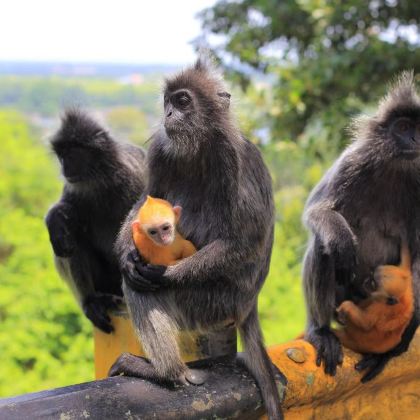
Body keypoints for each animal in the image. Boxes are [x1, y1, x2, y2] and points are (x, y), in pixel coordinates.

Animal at [45, 110, 147, 332]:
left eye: (72, 155)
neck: (100, 181)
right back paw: (91, 301)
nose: (64, 168)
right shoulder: (75, 188)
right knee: (71, 238)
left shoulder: (133, 176)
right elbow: (66, 212)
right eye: (61, 156)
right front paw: (55, 219)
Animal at [110, 57, 284, 418]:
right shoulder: (161, 149)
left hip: (214, 303)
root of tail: (247, 306)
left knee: (142, 289)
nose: (168, 114)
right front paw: (125, 255)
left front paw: (162, 274)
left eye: (183, 101)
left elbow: (245, 242)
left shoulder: (233, 159)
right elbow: (147, 198)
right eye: (168, 101)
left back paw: (167, 373)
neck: (199, 146)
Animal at [304, 73, 418, 384]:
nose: (415, 138)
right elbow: (317, 211)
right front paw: (343, 242)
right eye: (403, 127)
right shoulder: (353, 160)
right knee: (323, 244)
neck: (398, 168)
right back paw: (321, 332)